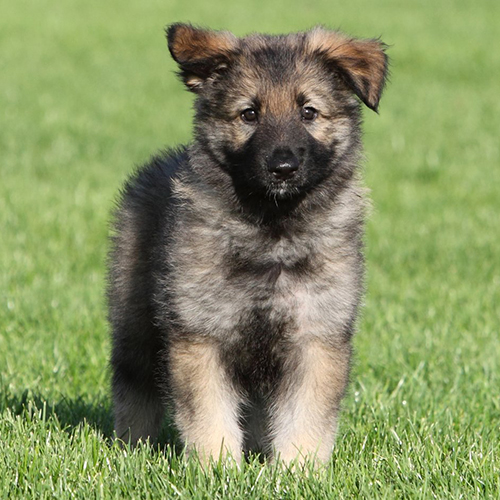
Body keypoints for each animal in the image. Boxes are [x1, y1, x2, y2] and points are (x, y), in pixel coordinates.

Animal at [108, 23, 386, 464]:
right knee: (134, 391)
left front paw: (297, 469)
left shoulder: (316, 337)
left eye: (309, 112)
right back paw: (132, 450)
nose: (283, 167)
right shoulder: (199, 335)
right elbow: (209, 414)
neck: (271, 231)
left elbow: (305, 418)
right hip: (135, 327)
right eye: (249, 113)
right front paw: (217, 467)